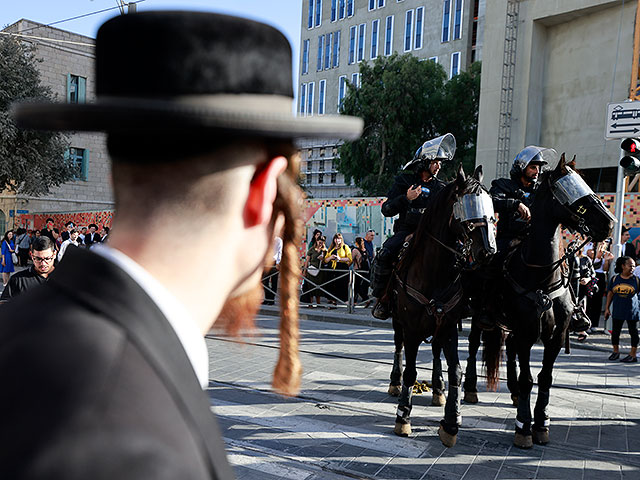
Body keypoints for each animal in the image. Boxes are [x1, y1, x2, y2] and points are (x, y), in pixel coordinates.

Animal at [476, 156, 616, 448]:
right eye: (567, 189)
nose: (609, 224)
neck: (541, 276)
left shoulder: (555, 336)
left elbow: (545, 378)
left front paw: (541, 422)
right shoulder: (528, 333)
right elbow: (529, 378)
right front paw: (523, 426)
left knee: (511, 351)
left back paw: (514, 393)